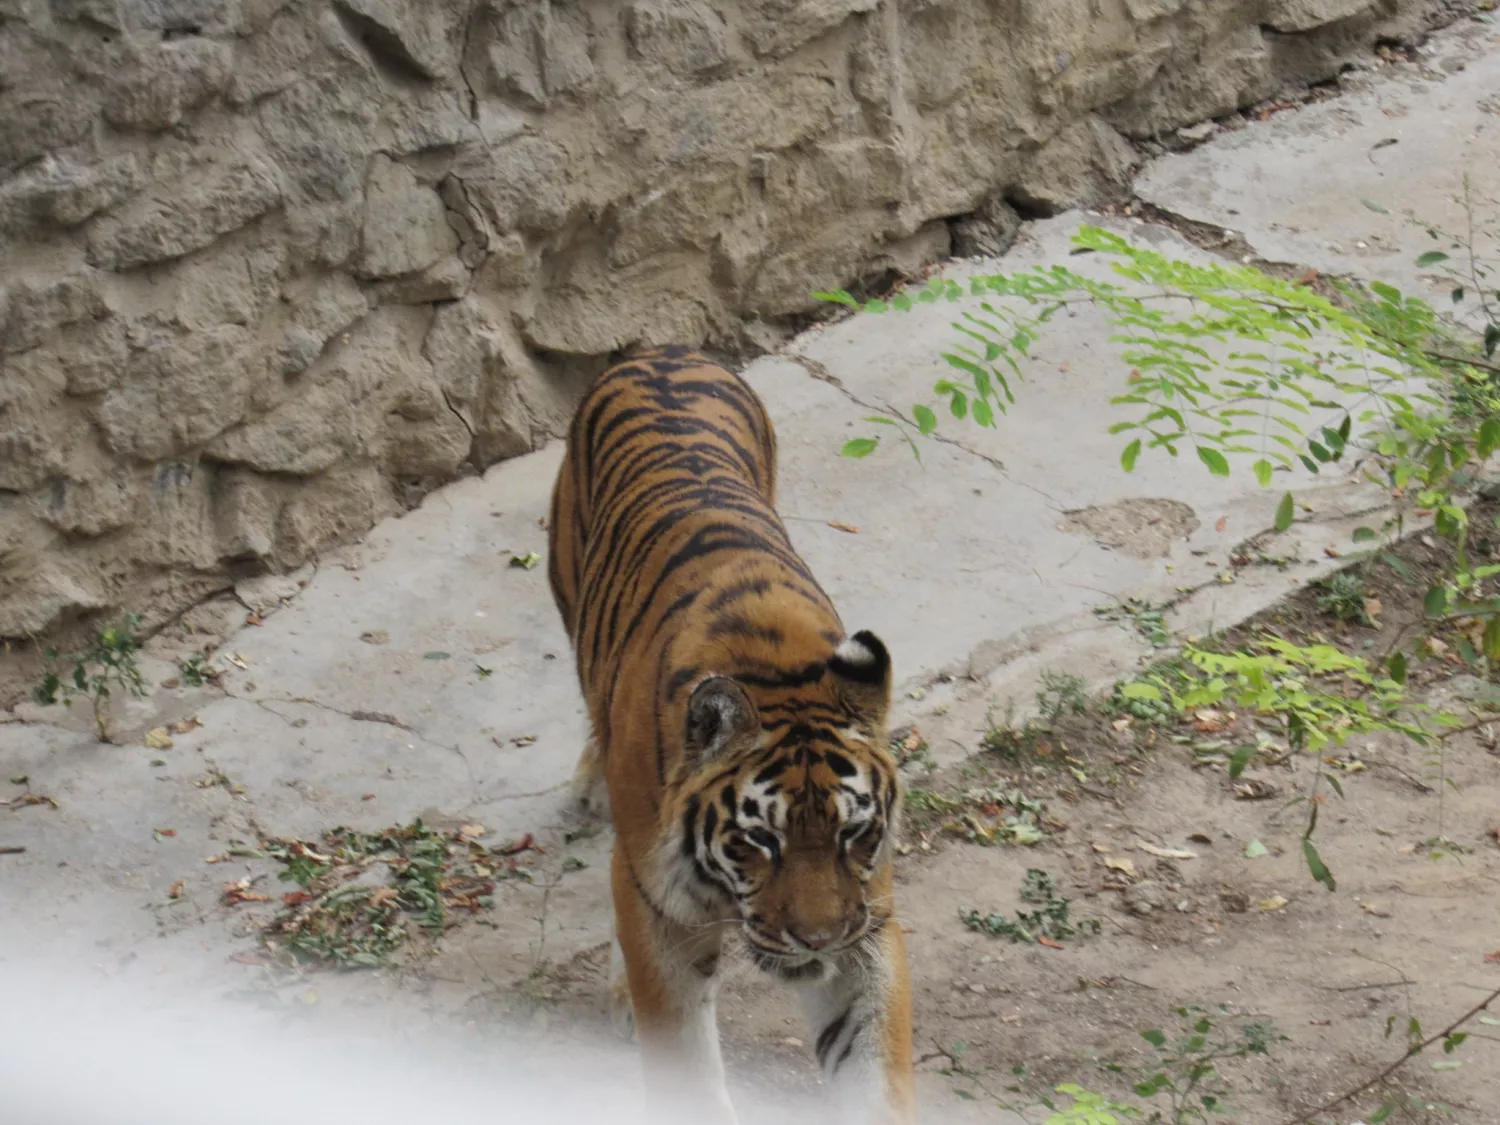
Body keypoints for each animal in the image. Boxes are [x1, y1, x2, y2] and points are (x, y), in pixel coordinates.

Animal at [543, 348, 906, 1122]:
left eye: (854, 833)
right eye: (758, 840)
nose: (816, 937)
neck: (778, 670)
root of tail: (663, 351)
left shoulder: (867, 926)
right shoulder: (663, 912)